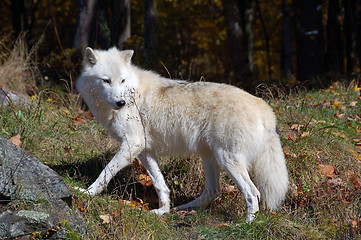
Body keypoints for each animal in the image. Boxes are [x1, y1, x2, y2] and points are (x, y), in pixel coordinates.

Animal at [75, 47, 286, 221]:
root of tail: (264, 108)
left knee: (252, 193)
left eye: (122, 80)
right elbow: (160, 184)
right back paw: (184, 208)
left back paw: (247, 223)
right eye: (106, 81)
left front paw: (87, 193)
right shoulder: (144, 150)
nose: (121, 103)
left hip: (227, 159)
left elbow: (106, 172)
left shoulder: (132, 144)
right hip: (210, 157)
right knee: (213, 191)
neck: (132, 92)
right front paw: (163, 210)